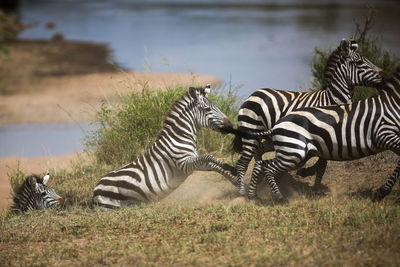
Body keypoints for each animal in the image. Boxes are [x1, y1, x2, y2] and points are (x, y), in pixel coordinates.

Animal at [92, 85, 239, 208]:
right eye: (207, 109)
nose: (230, 125)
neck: (181, 135)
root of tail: (95, 191)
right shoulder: (184, 164)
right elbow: (209, 156)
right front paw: (233, 170)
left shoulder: (196, 162)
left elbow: (214, 165)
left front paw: (234, 177)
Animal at [234, 38, 384, 196]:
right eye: (360, 62)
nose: (384, 75)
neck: (331, 99)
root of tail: (254, 93)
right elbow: (322, 163)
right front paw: (311, 180)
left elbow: (322, 163)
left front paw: (312, 180)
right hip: (251, 133)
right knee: (242, 163)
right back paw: (242, 192)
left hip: (269, 138)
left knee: (258, 154)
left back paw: (256, 187)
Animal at [250, 67, 400, 203]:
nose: (382, 75)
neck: (392, 104)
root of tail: (276, 125)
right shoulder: (384, 133)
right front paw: (382, 192)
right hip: (293, 152)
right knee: (268, 168)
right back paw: (280, 198)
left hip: (294, 151)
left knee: (261, 164)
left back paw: (254, 196)